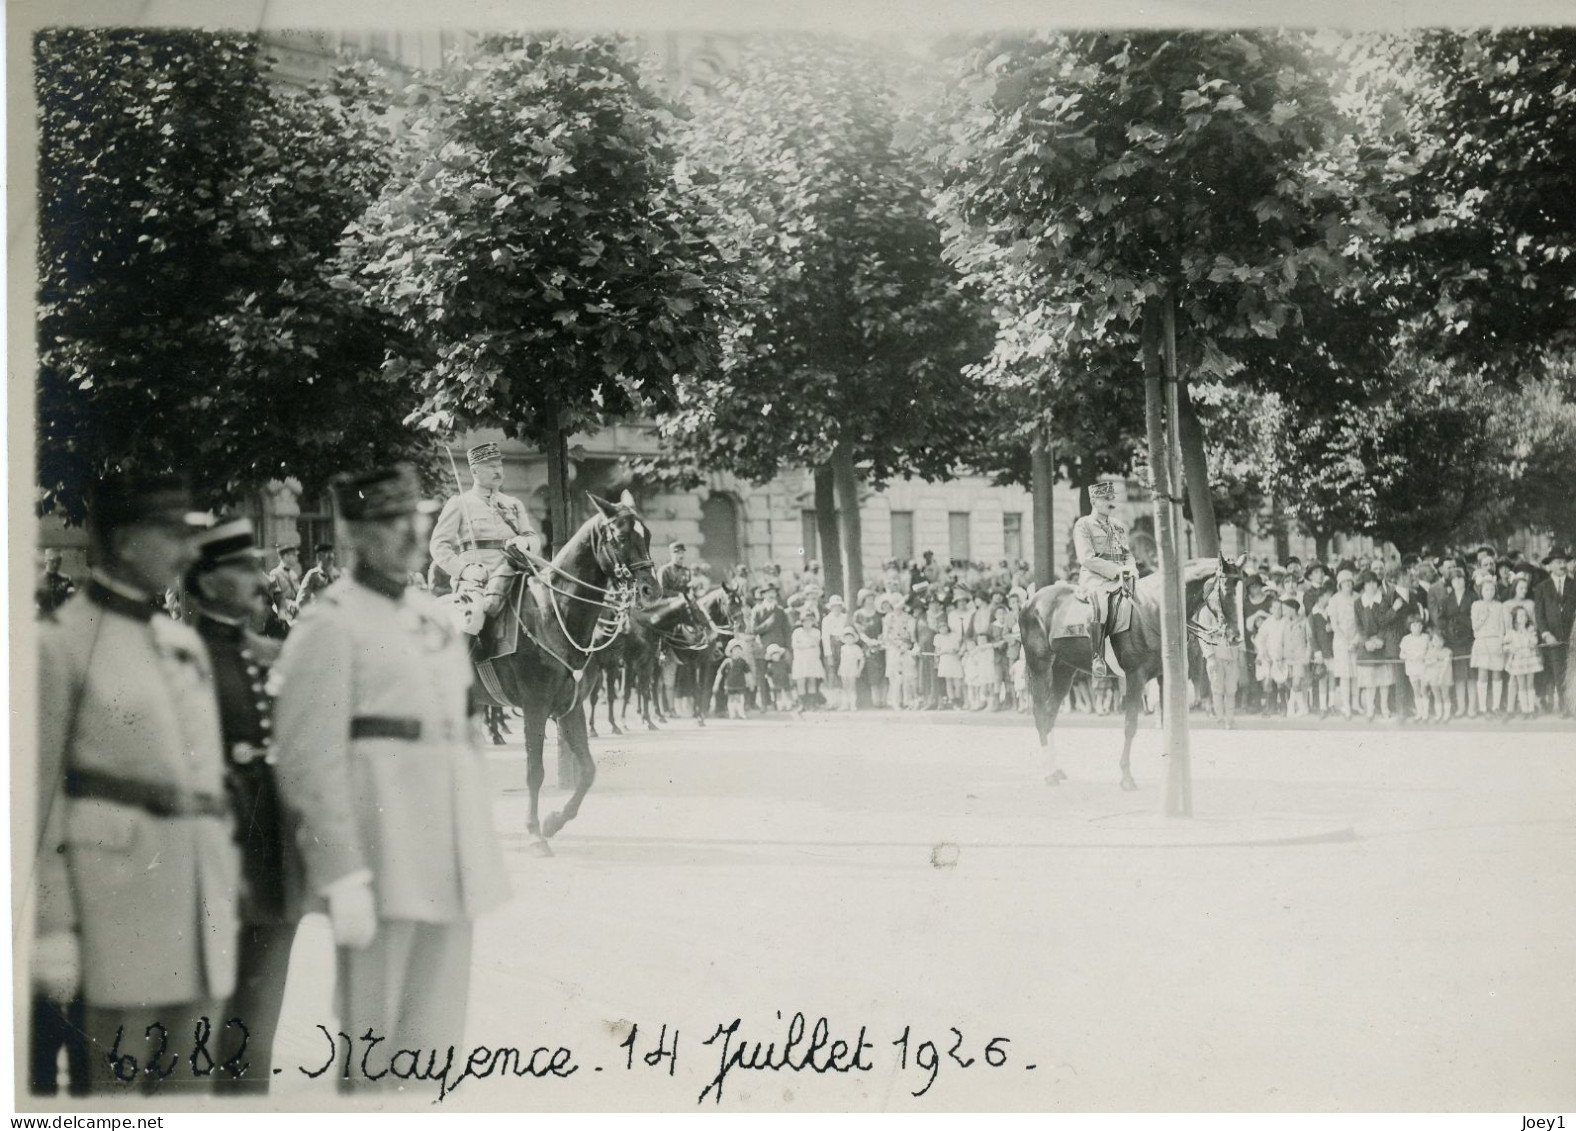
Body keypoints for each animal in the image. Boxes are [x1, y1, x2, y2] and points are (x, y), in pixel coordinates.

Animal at [475, 491, 655, 856]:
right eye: (622, 537)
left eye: (649, 536)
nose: (650, 589)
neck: (554, 613)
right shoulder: (535, 707)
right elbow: (535, 772)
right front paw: (534, 833)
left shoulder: (570, 708)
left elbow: (587, 771)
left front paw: (553, 821)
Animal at [1021, 554, 1241, 787]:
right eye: (1226, 589)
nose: (1236, 637)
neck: (1157, 609)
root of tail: (1030, 601)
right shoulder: (1136, 676)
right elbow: (1130, 725)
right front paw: (1126, 776)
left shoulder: (1164, 677)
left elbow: (1168, 723)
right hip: (1040, 667)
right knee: (1040, 712)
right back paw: (1049, 773)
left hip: (1064, 671)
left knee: (1050, 713)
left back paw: (1055, 769)